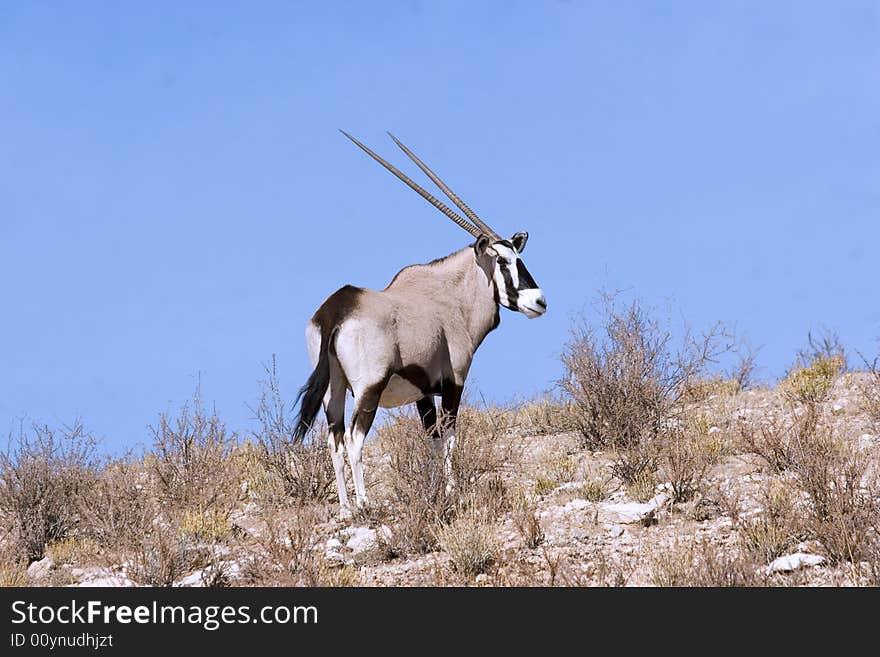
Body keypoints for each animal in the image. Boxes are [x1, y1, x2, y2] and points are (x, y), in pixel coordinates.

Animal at [294, 132, 544, 512]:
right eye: (502, 261)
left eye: (517, 257)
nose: (539, 300)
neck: (450, 296)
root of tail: (337, 309)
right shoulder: (454, 382)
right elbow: (450, 436)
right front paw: (452, 492)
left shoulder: (423, 392)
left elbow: (433, 439)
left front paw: (432, 492)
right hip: (368, 389)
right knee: (352, 438)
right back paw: (364, 503)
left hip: (332, 390)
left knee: (334, 439)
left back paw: (345, 507)